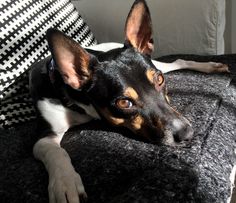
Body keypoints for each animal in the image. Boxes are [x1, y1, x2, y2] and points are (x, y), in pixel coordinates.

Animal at [29, 0, 229, 203]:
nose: (187, 134)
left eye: (159, 80)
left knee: (179, 62)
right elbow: (56, 152)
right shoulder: (44, 137)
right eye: (124, 103)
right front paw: (65, 182)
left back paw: (211, 66)